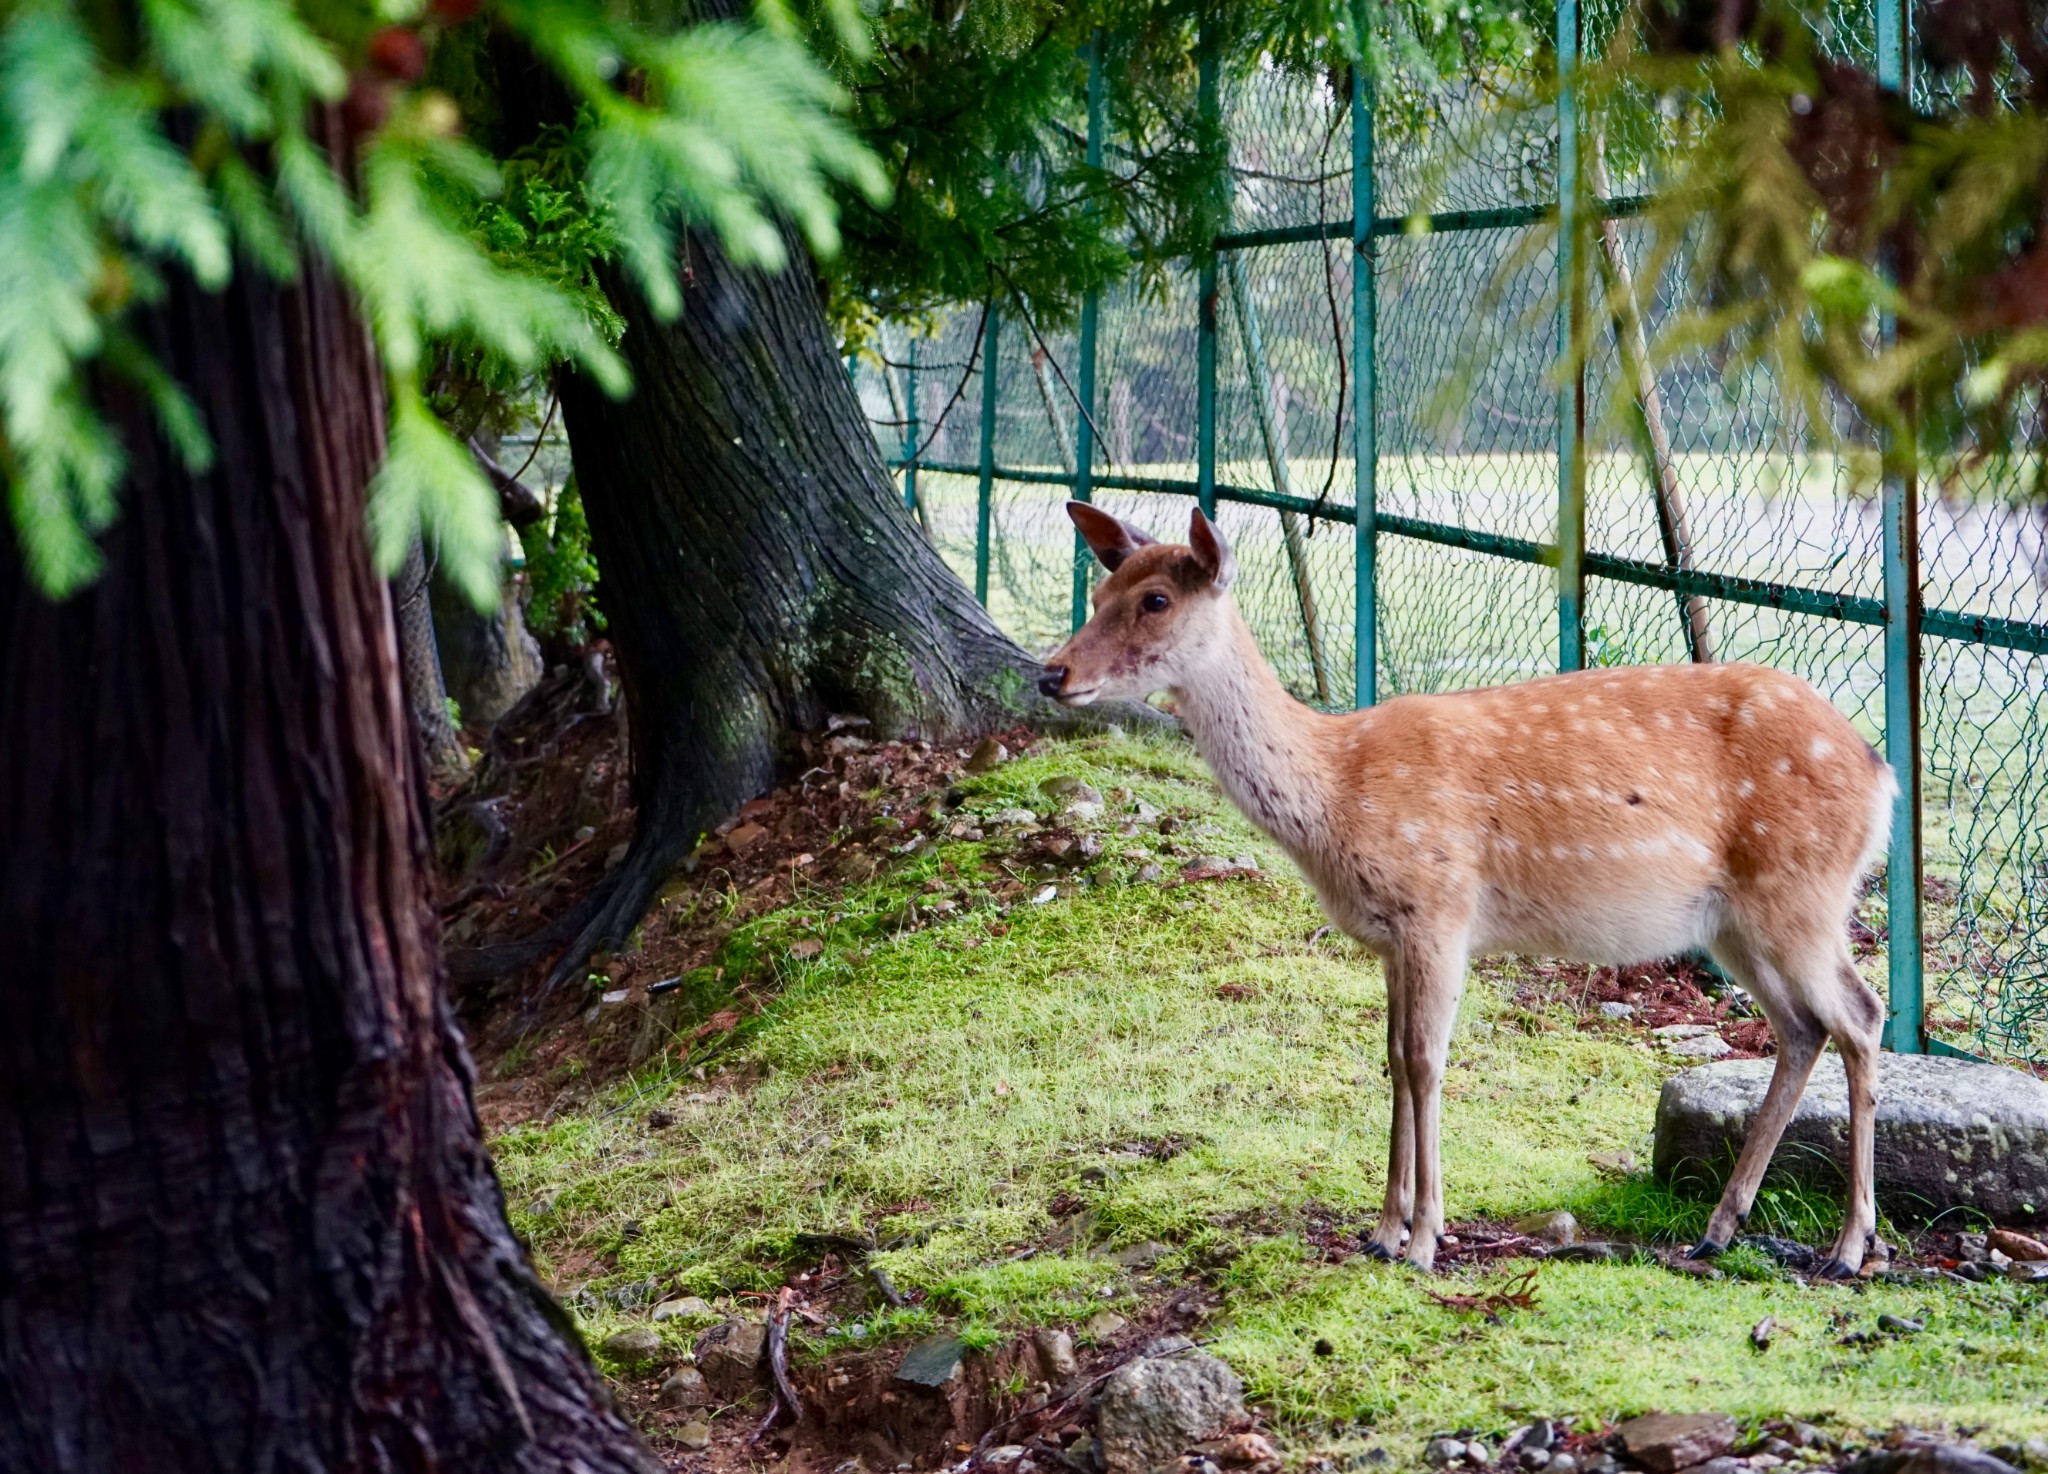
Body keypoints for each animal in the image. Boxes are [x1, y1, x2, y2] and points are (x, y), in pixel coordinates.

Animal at [1040, 503, 1900, 1277]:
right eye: (1102, 587)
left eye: (1156, 600)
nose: (1052, 671)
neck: (1336, 792)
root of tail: (1881, 775)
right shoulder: (1390, 936)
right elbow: (1391, 1058)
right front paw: (1381, 1231)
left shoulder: (1440, 907)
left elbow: (1426, 1061)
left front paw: (1424, 1239)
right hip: (1734, 922)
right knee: (1803, 1027)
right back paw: (1718, 1230)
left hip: (1802, 891)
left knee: (1861, 1015)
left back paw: (1850, 1248)